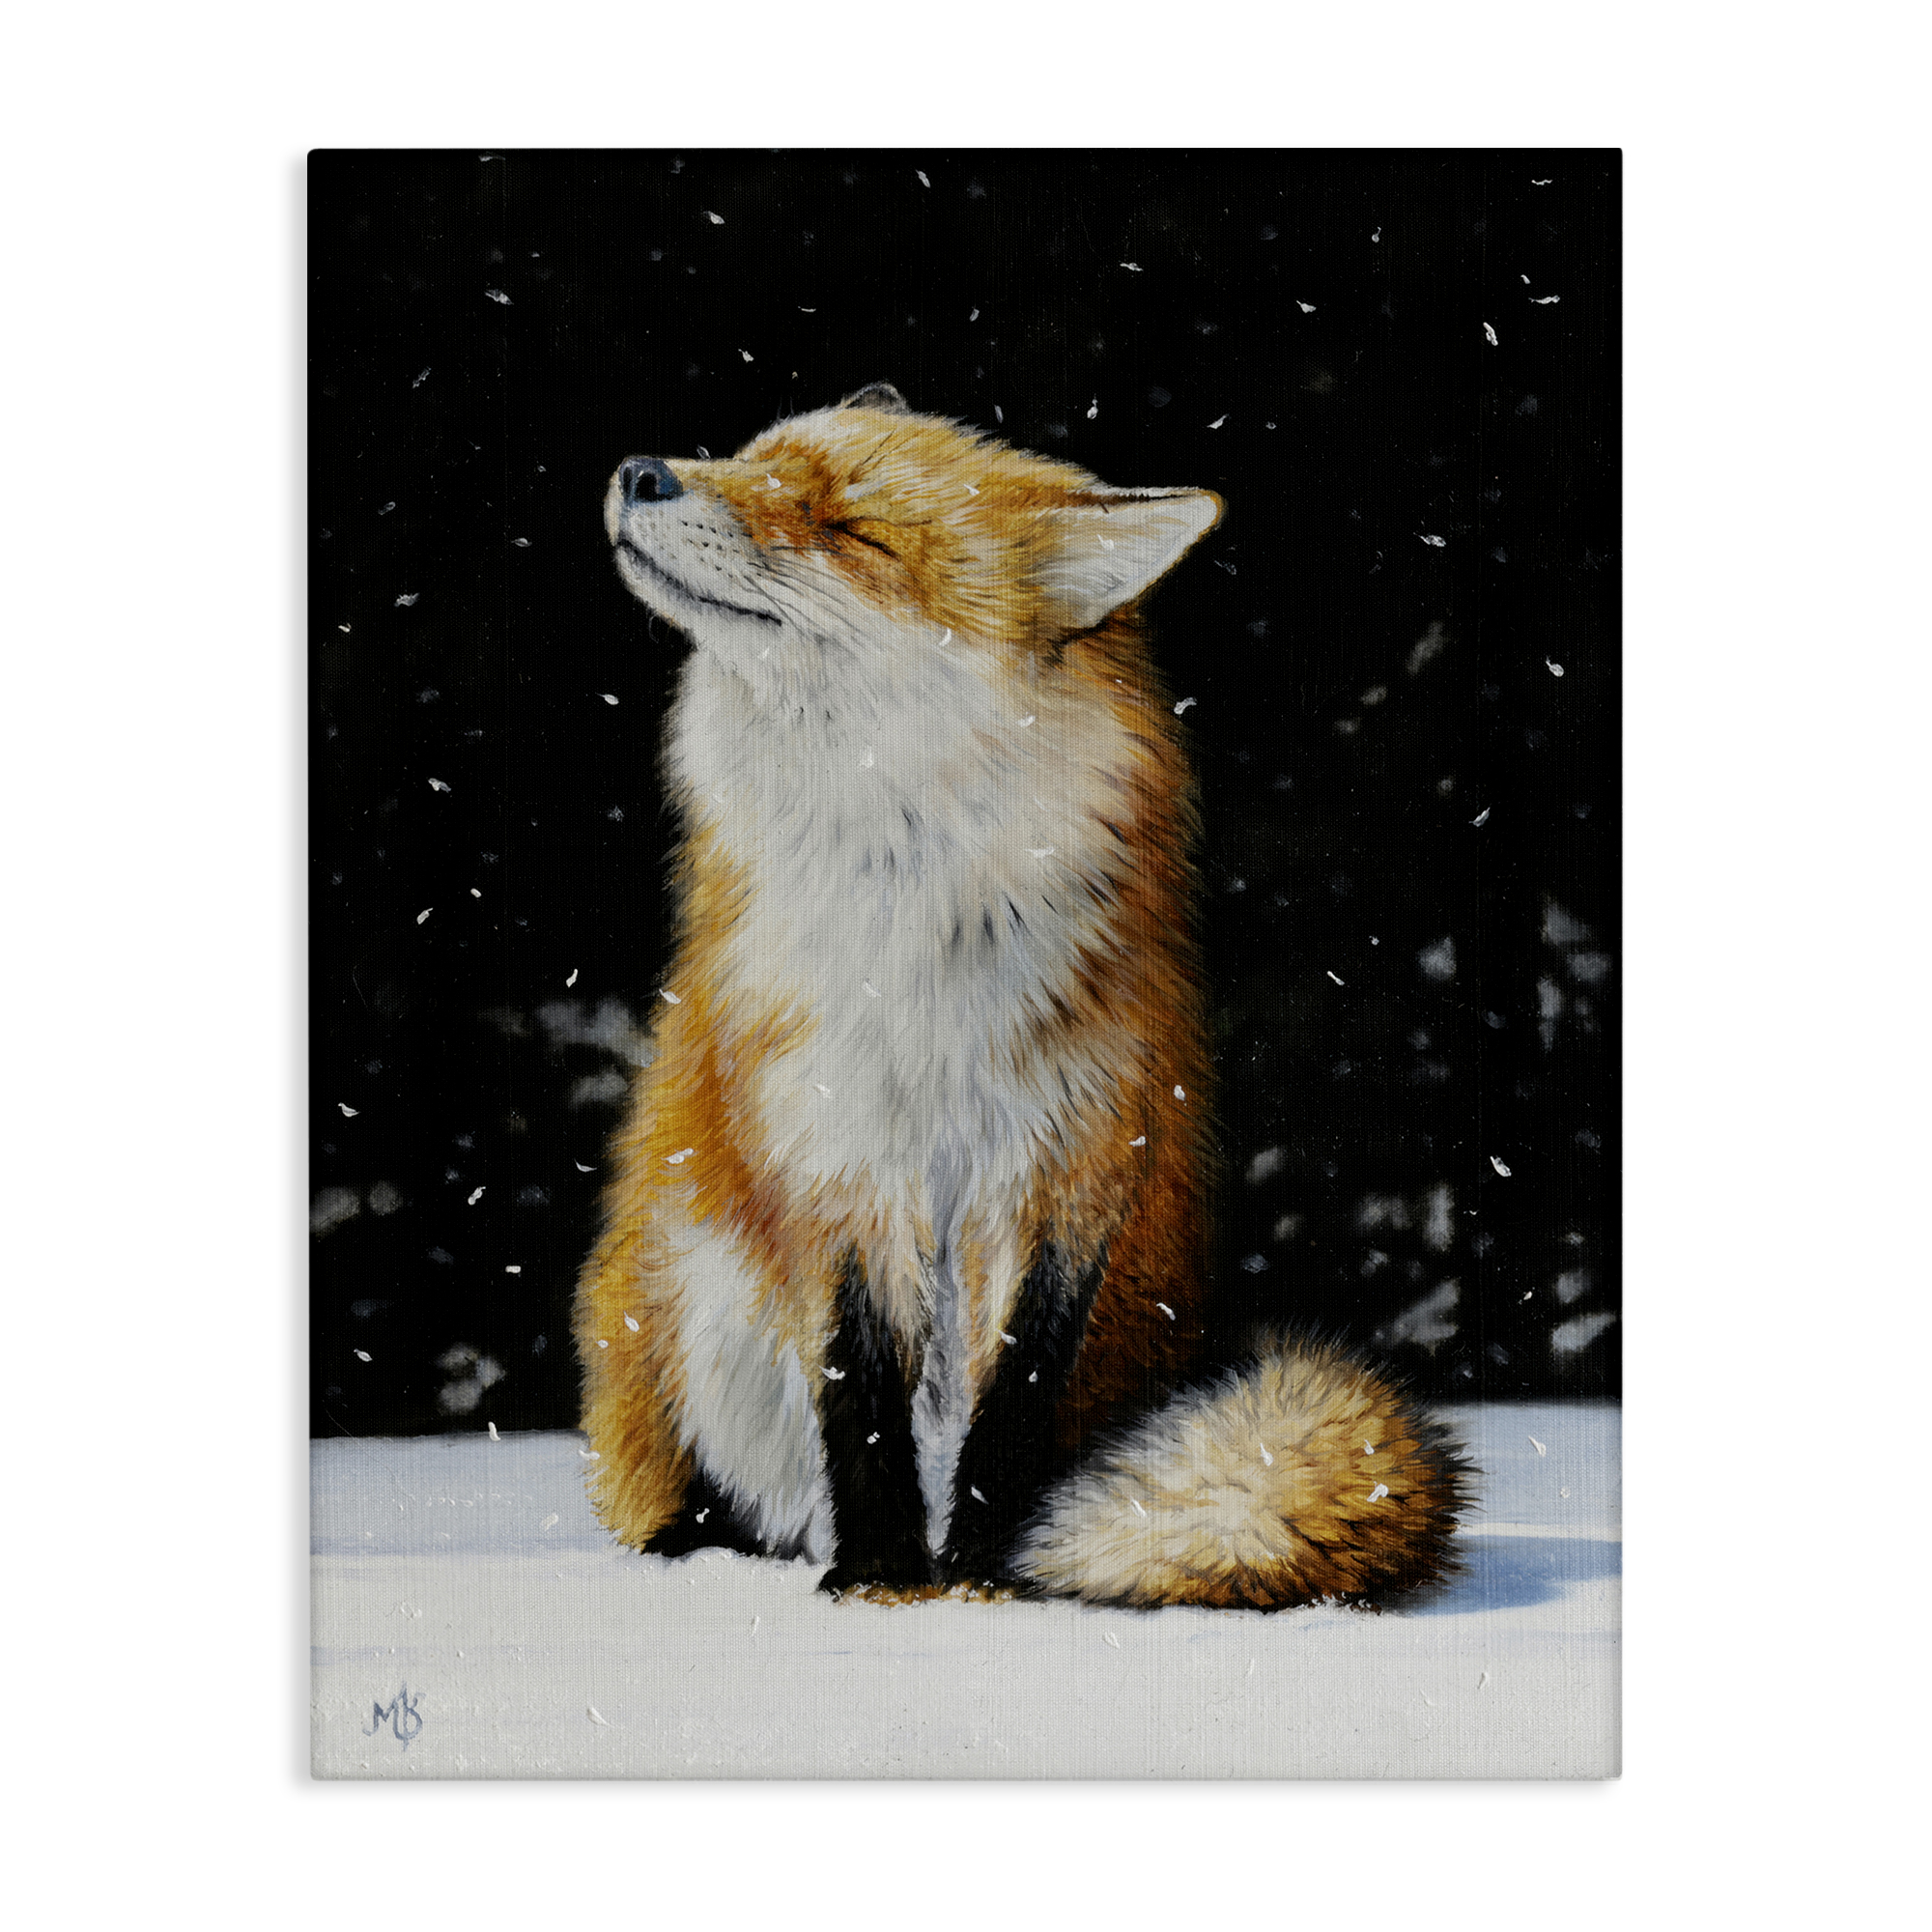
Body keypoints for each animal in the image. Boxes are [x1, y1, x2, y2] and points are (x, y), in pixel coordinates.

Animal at [574, 382, 1469, 1607]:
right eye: (753, 457)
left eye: (854, 530)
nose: (640, 471)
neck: (918, 949)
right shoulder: (833, 1168)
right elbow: (859, 1398)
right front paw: (882, 1577)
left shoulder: (1074, 1163)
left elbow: (1014, 1405)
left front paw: (983, 1573)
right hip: (682, 1301)